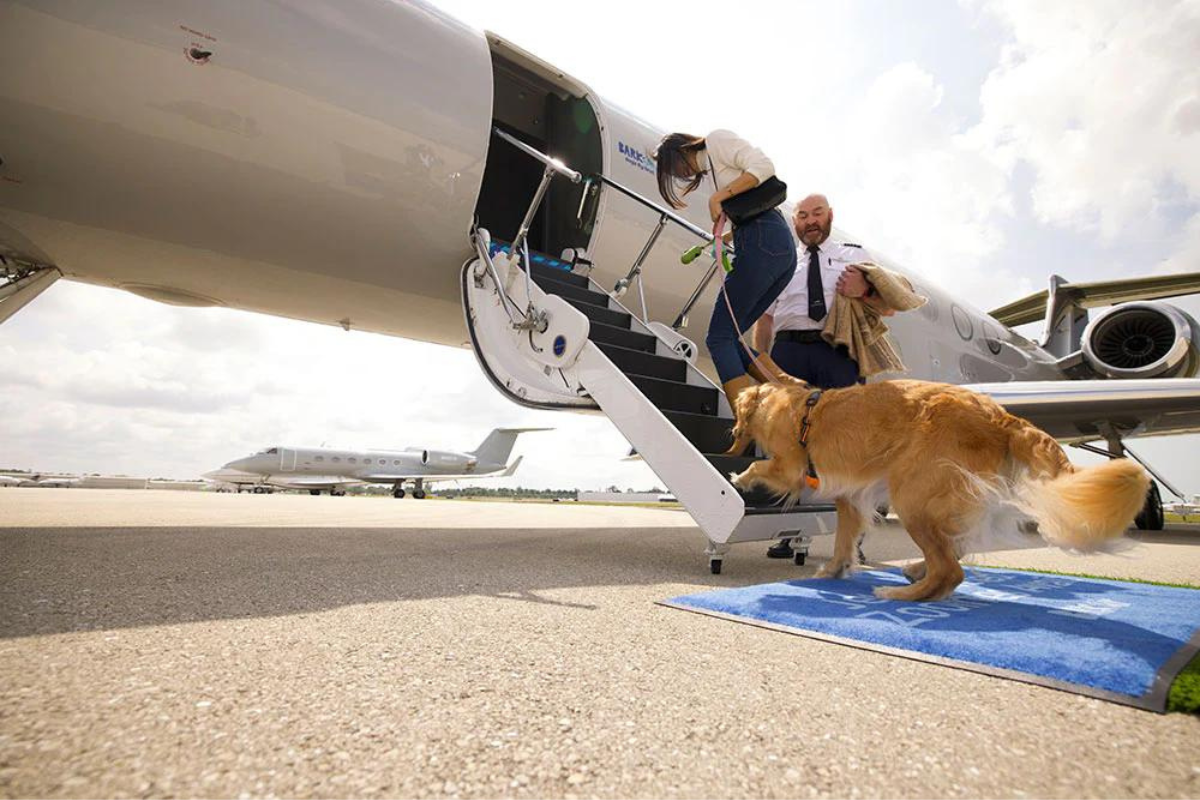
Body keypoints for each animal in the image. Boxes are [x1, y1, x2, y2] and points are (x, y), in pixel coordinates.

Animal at [724, 381, 1147, 599]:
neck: (786, 403)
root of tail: (1002, 416)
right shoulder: (851, 495)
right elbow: (845, 538)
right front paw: (835, 569)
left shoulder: (791, 467)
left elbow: (761, 466)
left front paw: (740, 478)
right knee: (953, 549)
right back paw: (915, 571)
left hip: (913, 496)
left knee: (951, 570)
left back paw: (902, 594)